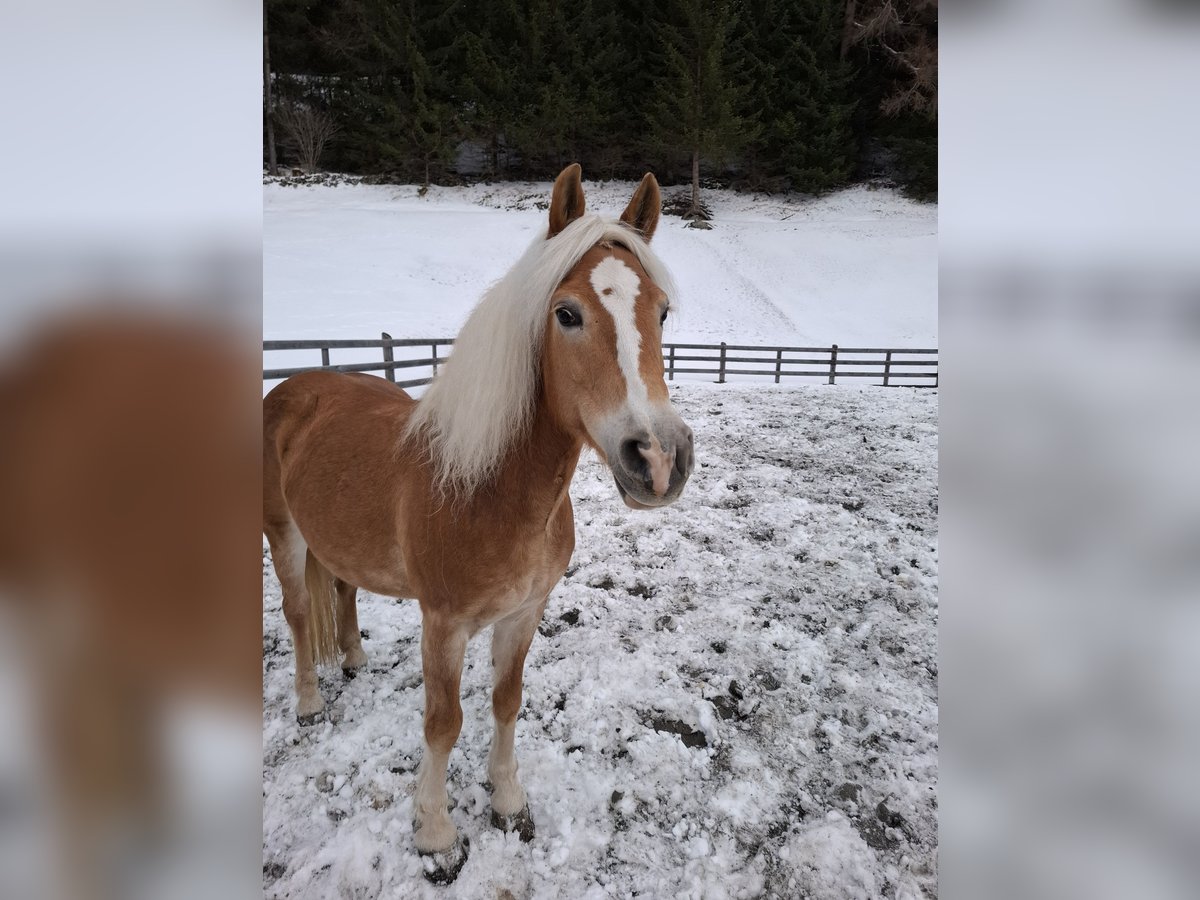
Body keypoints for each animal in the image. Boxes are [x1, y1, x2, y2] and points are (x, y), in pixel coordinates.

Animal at [262, 164, 696, 888]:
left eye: (660, 312)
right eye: (567, 313)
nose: (659, 460)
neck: (490, 489)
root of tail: (292, 387)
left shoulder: (523, 613)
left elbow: (506, 700)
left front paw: (508, 800)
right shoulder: (444, 624)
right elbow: (444, 720)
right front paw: (436, 833)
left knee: (344, 590)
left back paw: (353, 659)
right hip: (285, 538)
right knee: (298, 615)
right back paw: (308, 702)